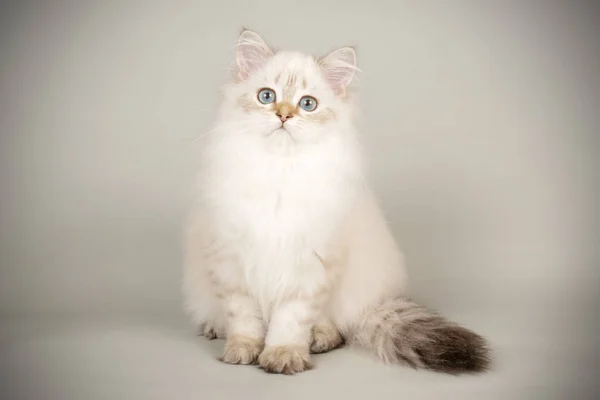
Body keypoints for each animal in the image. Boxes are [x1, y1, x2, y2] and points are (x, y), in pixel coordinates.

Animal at [184, 28, 492, 376]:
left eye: (308, 104)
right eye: (267, 96)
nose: (284, 115)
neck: (280, 170)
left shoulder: (308, 266)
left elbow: (290, 321)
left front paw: (283, 355)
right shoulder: (231, 262)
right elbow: (244, 319)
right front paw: (241, 351)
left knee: (337, 327)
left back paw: (319, 339)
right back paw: (216, 328)